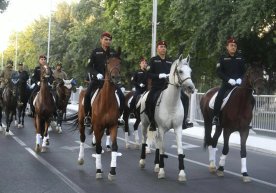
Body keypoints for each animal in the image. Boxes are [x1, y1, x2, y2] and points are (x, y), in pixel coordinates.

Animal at [77, 49, 121, 180]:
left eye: (120, 62)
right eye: (108, 62)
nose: (115, 77)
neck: (106, 101)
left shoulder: (113, 126)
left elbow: (114, 147)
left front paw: (112, 171)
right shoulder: (97, 126)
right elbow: (97, 147)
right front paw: (98, 170)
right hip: (82, 122)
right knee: (82, 138)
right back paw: (81, 159)